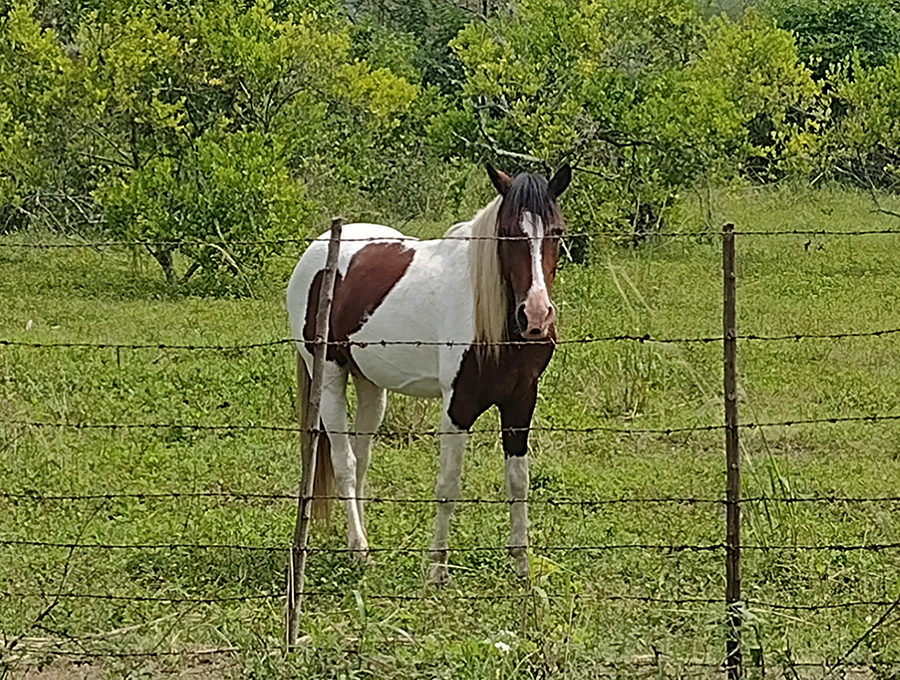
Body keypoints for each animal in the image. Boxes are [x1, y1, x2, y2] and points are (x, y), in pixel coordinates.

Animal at [286, 163, 571, 583]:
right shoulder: (458, 406)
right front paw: (437, 567)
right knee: (345, 461)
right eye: (506, 232)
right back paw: (360, 549)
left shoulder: (521, 402)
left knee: (361, 455)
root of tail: (318, 249)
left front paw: (522, 564)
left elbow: (518, 481)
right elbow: (448, 485)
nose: (535, 316)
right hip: (330, 376)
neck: (493, 322)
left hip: (370, 383)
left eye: (557, 231)